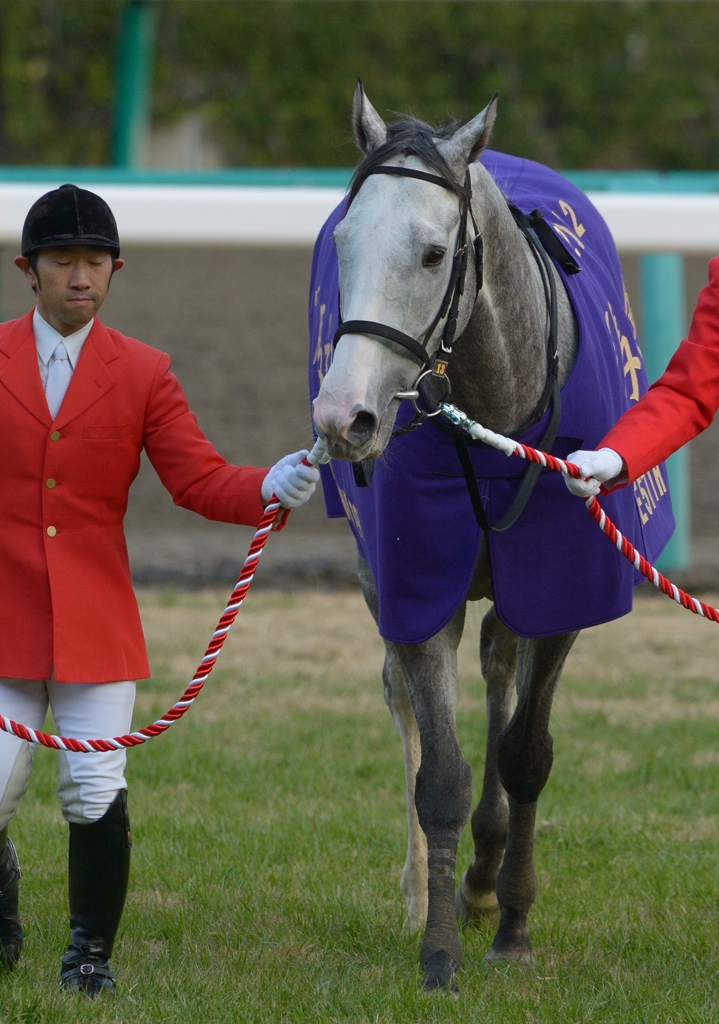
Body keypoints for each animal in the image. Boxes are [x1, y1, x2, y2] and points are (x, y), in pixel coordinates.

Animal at [310, 82, 673, 994]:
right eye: (341, 241)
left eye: (434, 253)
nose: (341, 417)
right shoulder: (415, 580)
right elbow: (437, 771)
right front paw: (438, 948)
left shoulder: (558, 587)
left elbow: (526, 752)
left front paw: (511, 922)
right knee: (406, 699)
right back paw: (430, 887)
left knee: (500, 670)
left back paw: (484, 875)